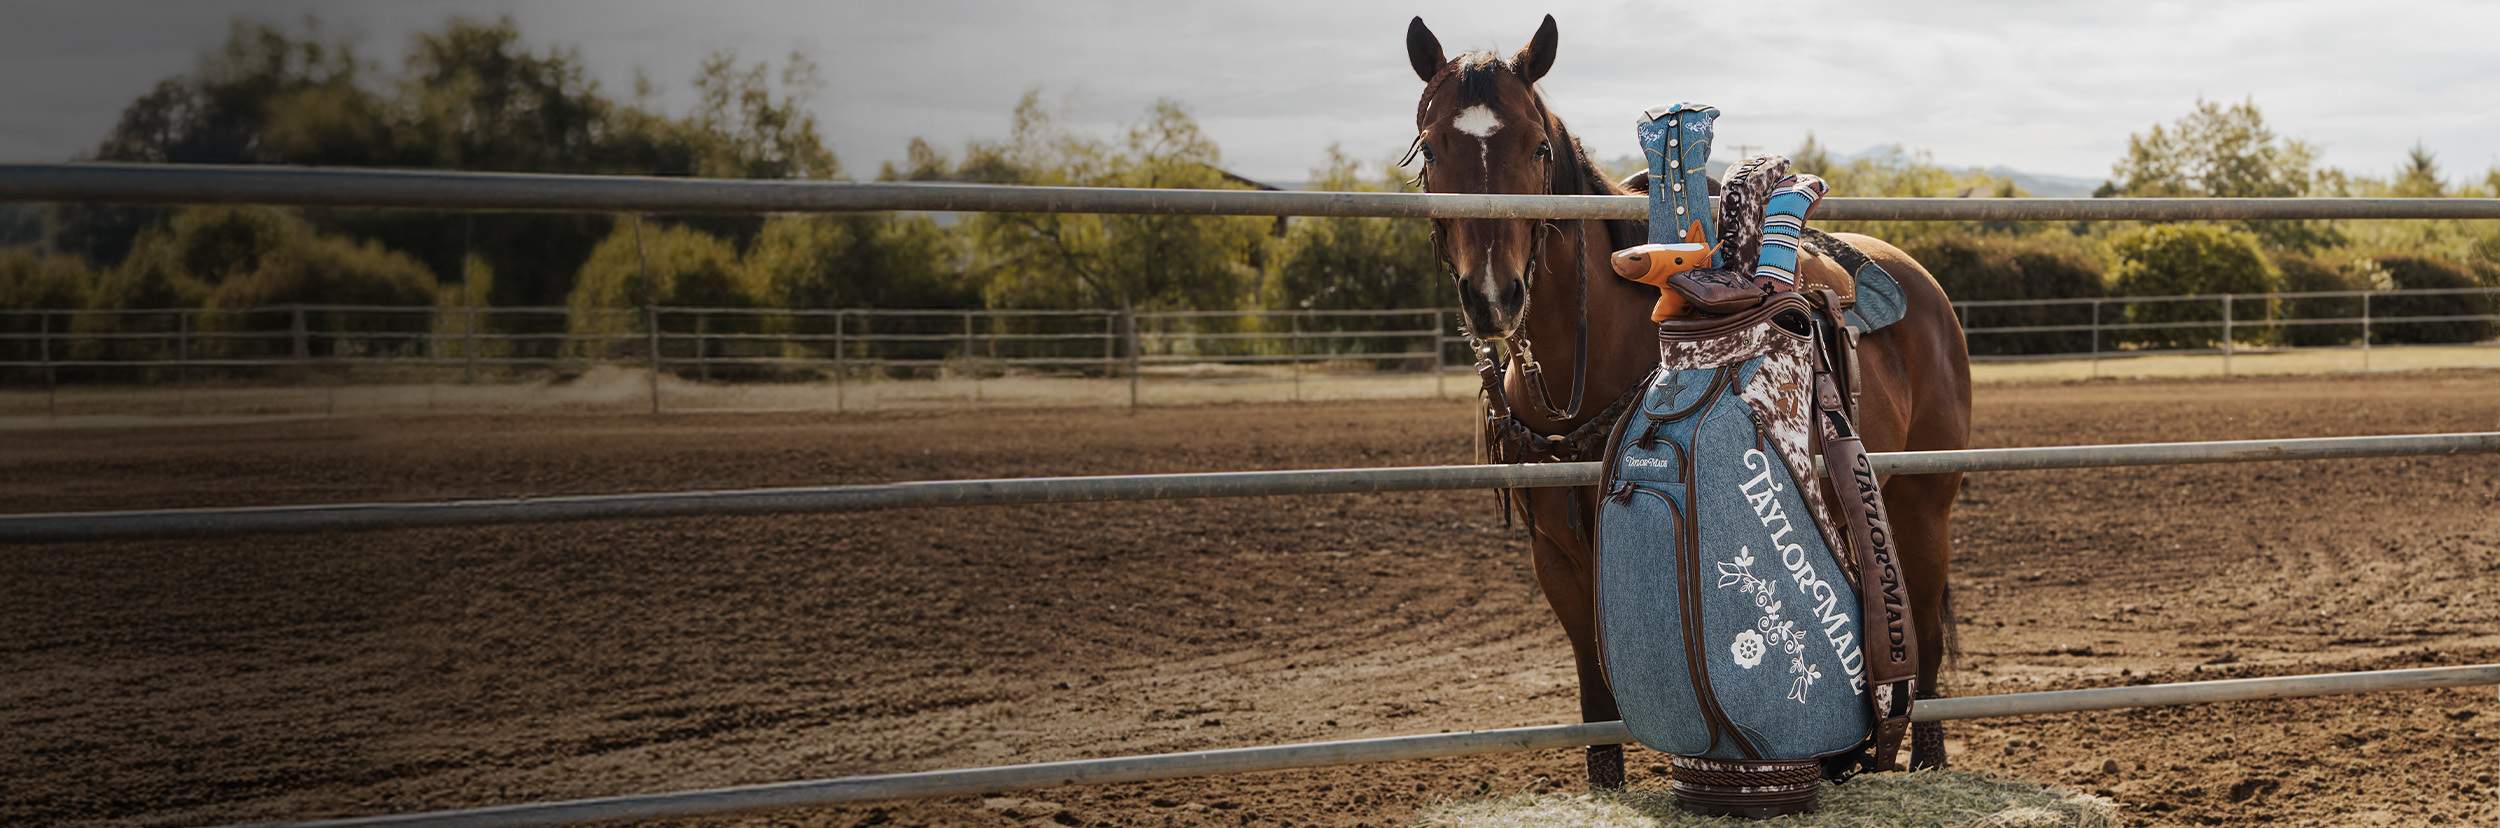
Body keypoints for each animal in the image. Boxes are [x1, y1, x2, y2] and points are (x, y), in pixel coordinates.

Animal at [1402, 15, 1973, 788]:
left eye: (1538, 146)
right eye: (1432, 148)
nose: (1493, 295)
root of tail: (1923, 286)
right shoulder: (1557, 557)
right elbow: (1596, 695)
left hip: (1922, 502)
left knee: (1928, 644)